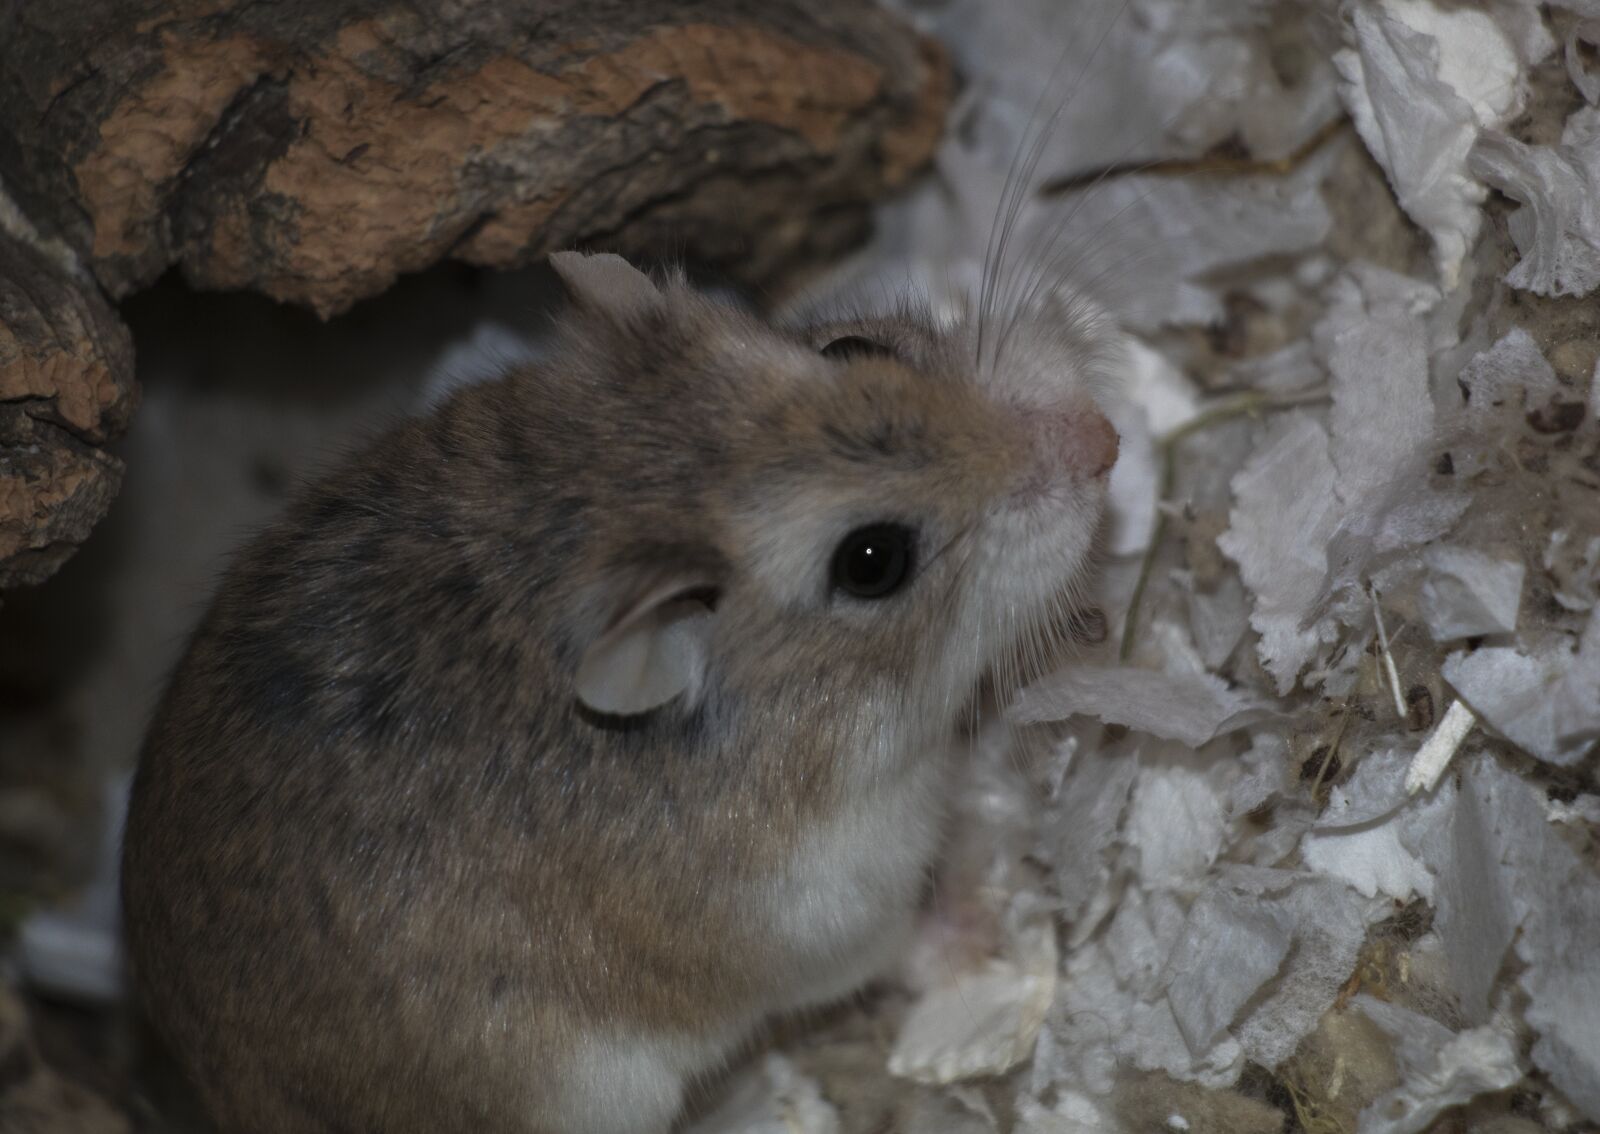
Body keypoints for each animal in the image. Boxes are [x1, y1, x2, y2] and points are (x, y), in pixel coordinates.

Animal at [120, 251, 1122, 1134]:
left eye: (853, 350)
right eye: (872, 561)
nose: (1106, 440)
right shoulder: (832, 915)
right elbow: (904, 942)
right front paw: (982, 935)